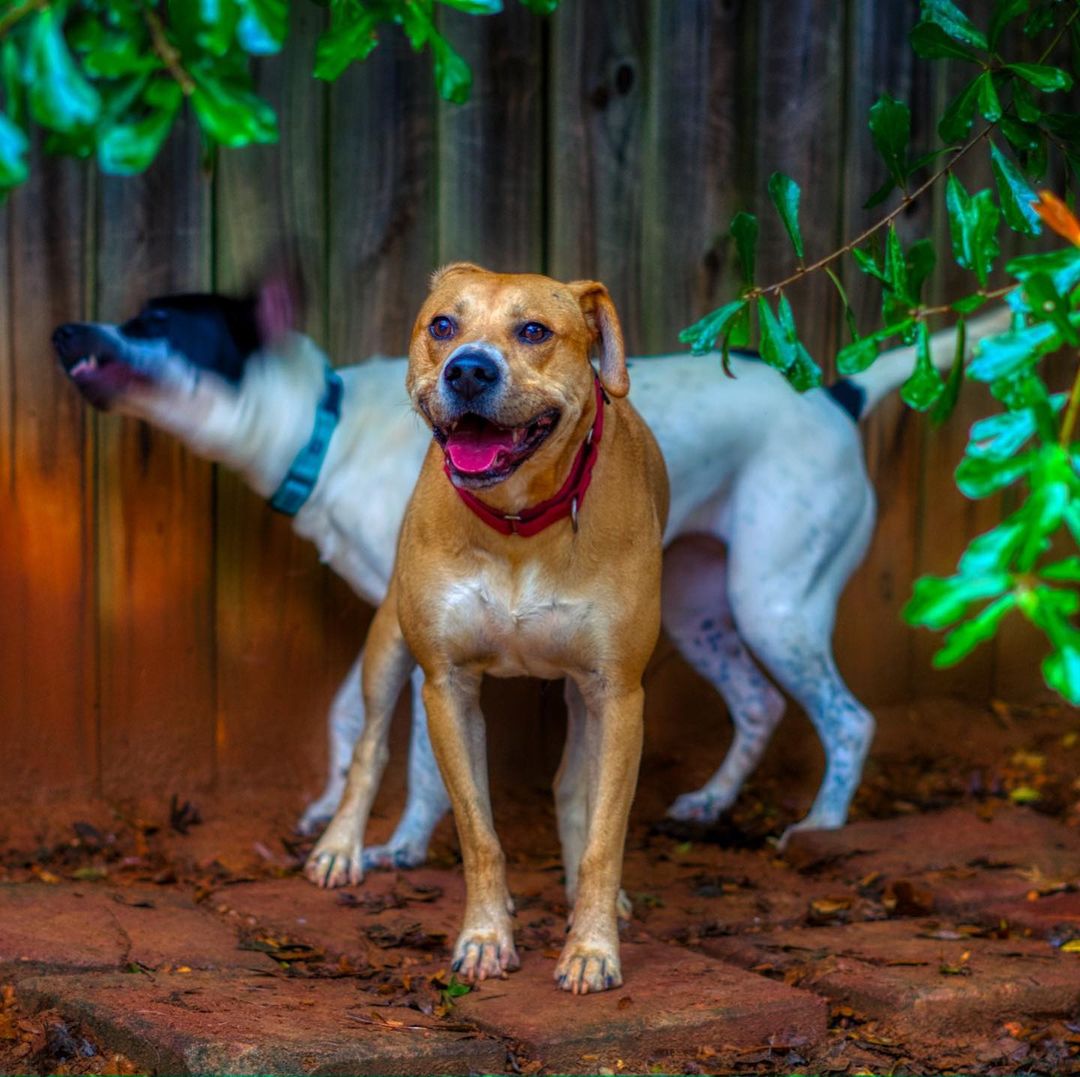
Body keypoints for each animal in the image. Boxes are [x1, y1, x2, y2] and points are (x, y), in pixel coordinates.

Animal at [52, 289, 1010, 859]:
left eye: (155, 322)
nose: (63, 328)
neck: (326, 428)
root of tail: (836, 397)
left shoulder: (434, 646)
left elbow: (427, 764)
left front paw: (399, 846)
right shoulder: (400, 617)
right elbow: (346, 715)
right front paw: (329, 808)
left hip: (773, 601)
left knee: (848, 717)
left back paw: (821, 825)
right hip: (701, 606)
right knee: (759, 704)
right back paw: (709, 801)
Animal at [304, 262, 669, 993]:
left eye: (534, 331)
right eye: (443, 325)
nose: (468, 369)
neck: (518, 522)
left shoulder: (619, 693)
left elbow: (604, 836)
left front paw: (592, 946)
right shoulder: (446, 685)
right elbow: (479, 833)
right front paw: (485, 936)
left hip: (587, 698)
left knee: (575, 789)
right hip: (387, 643)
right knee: (369, 747)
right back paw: (339, 847)